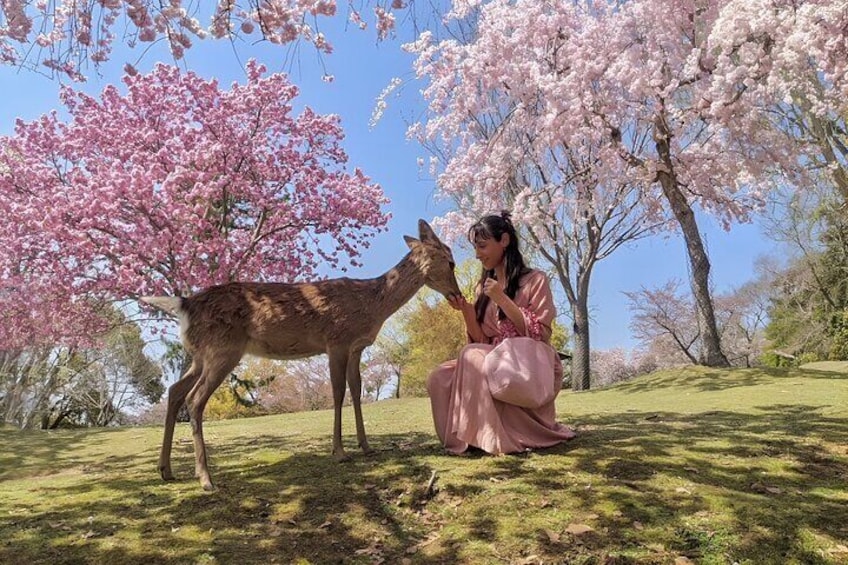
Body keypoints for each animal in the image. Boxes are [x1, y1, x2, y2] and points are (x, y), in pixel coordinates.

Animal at [142, 218, 460, 492]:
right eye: (451, 261)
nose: (457, 295)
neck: (372, 306)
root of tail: (185, 305)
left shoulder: (356, 347)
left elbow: (356, 391)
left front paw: (367, 446)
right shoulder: (337, 340)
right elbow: (338, 392)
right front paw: (339, 451)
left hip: (200, 355)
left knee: (175, 391)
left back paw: (166, 470)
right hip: (223, 349)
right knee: (195, 399)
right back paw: (206, 478)